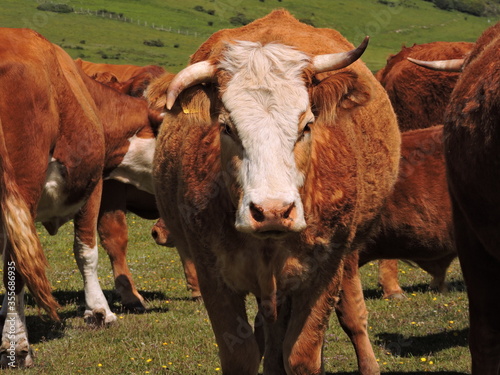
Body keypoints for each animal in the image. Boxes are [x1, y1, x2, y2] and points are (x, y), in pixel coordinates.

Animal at [146, 9, 400, 375]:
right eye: (226, 127)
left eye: (307, 125)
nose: (272, 211)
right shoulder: (212, 275)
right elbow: (242, 355)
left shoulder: (323, 273)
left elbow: (303, 355)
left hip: (347, 257)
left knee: (353, 315)